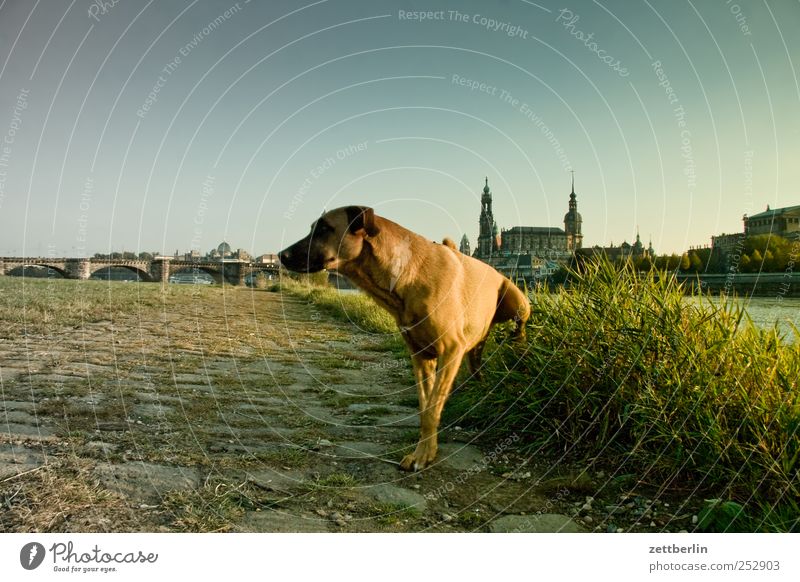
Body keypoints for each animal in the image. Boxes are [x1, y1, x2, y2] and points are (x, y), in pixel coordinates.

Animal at [278, 208, 528, 472]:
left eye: (325, 228)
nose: (280, 255)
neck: (406, 275)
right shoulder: (421, 357)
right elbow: (426, 408)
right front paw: (426, 451)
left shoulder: (450, 350)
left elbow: (432, 410)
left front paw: (423, 455)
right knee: (476, 360)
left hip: (517, 299)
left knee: (520, 322)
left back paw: (518, 342)